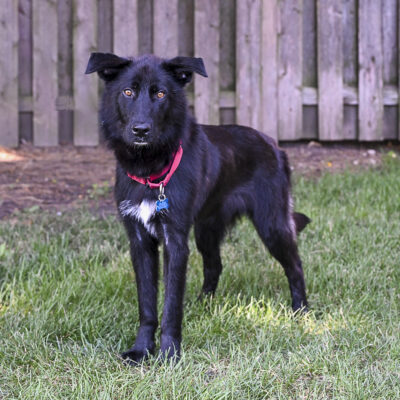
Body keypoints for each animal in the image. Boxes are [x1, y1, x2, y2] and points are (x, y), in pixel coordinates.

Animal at [84, 52, 310, 362]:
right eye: (128, 92)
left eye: (161, 93)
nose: (141, 130)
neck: (150, 169)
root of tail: (274, 144)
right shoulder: (139, 241)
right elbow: (147, 305)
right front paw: (142, 349)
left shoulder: (175, 241)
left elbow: (171, 305)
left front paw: (169, 353)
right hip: (206, 230)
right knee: (214, 265)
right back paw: (204, 304)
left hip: (272, 225)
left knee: (295, 264)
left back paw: (301, 311)